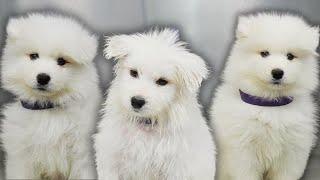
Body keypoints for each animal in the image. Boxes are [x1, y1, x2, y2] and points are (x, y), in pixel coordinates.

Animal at [0, 13, 101, 179]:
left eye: (61, 61)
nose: (43, 77)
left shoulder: (82, 154)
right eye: (34, 56)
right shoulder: (22, 154)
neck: (47, 109)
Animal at [94, 28, 216, 179]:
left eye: (162, 81)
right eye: (133, 72)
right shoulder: (111, 160)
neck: (146, 124)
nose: (136, 101)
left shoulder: (176, 169)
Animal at [210, 12, 320, 179]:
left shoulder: (292, 152)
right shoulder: (243, 152)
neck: (270, 103)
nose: (277, 72)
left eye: (290, 56)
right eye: (264, 54)